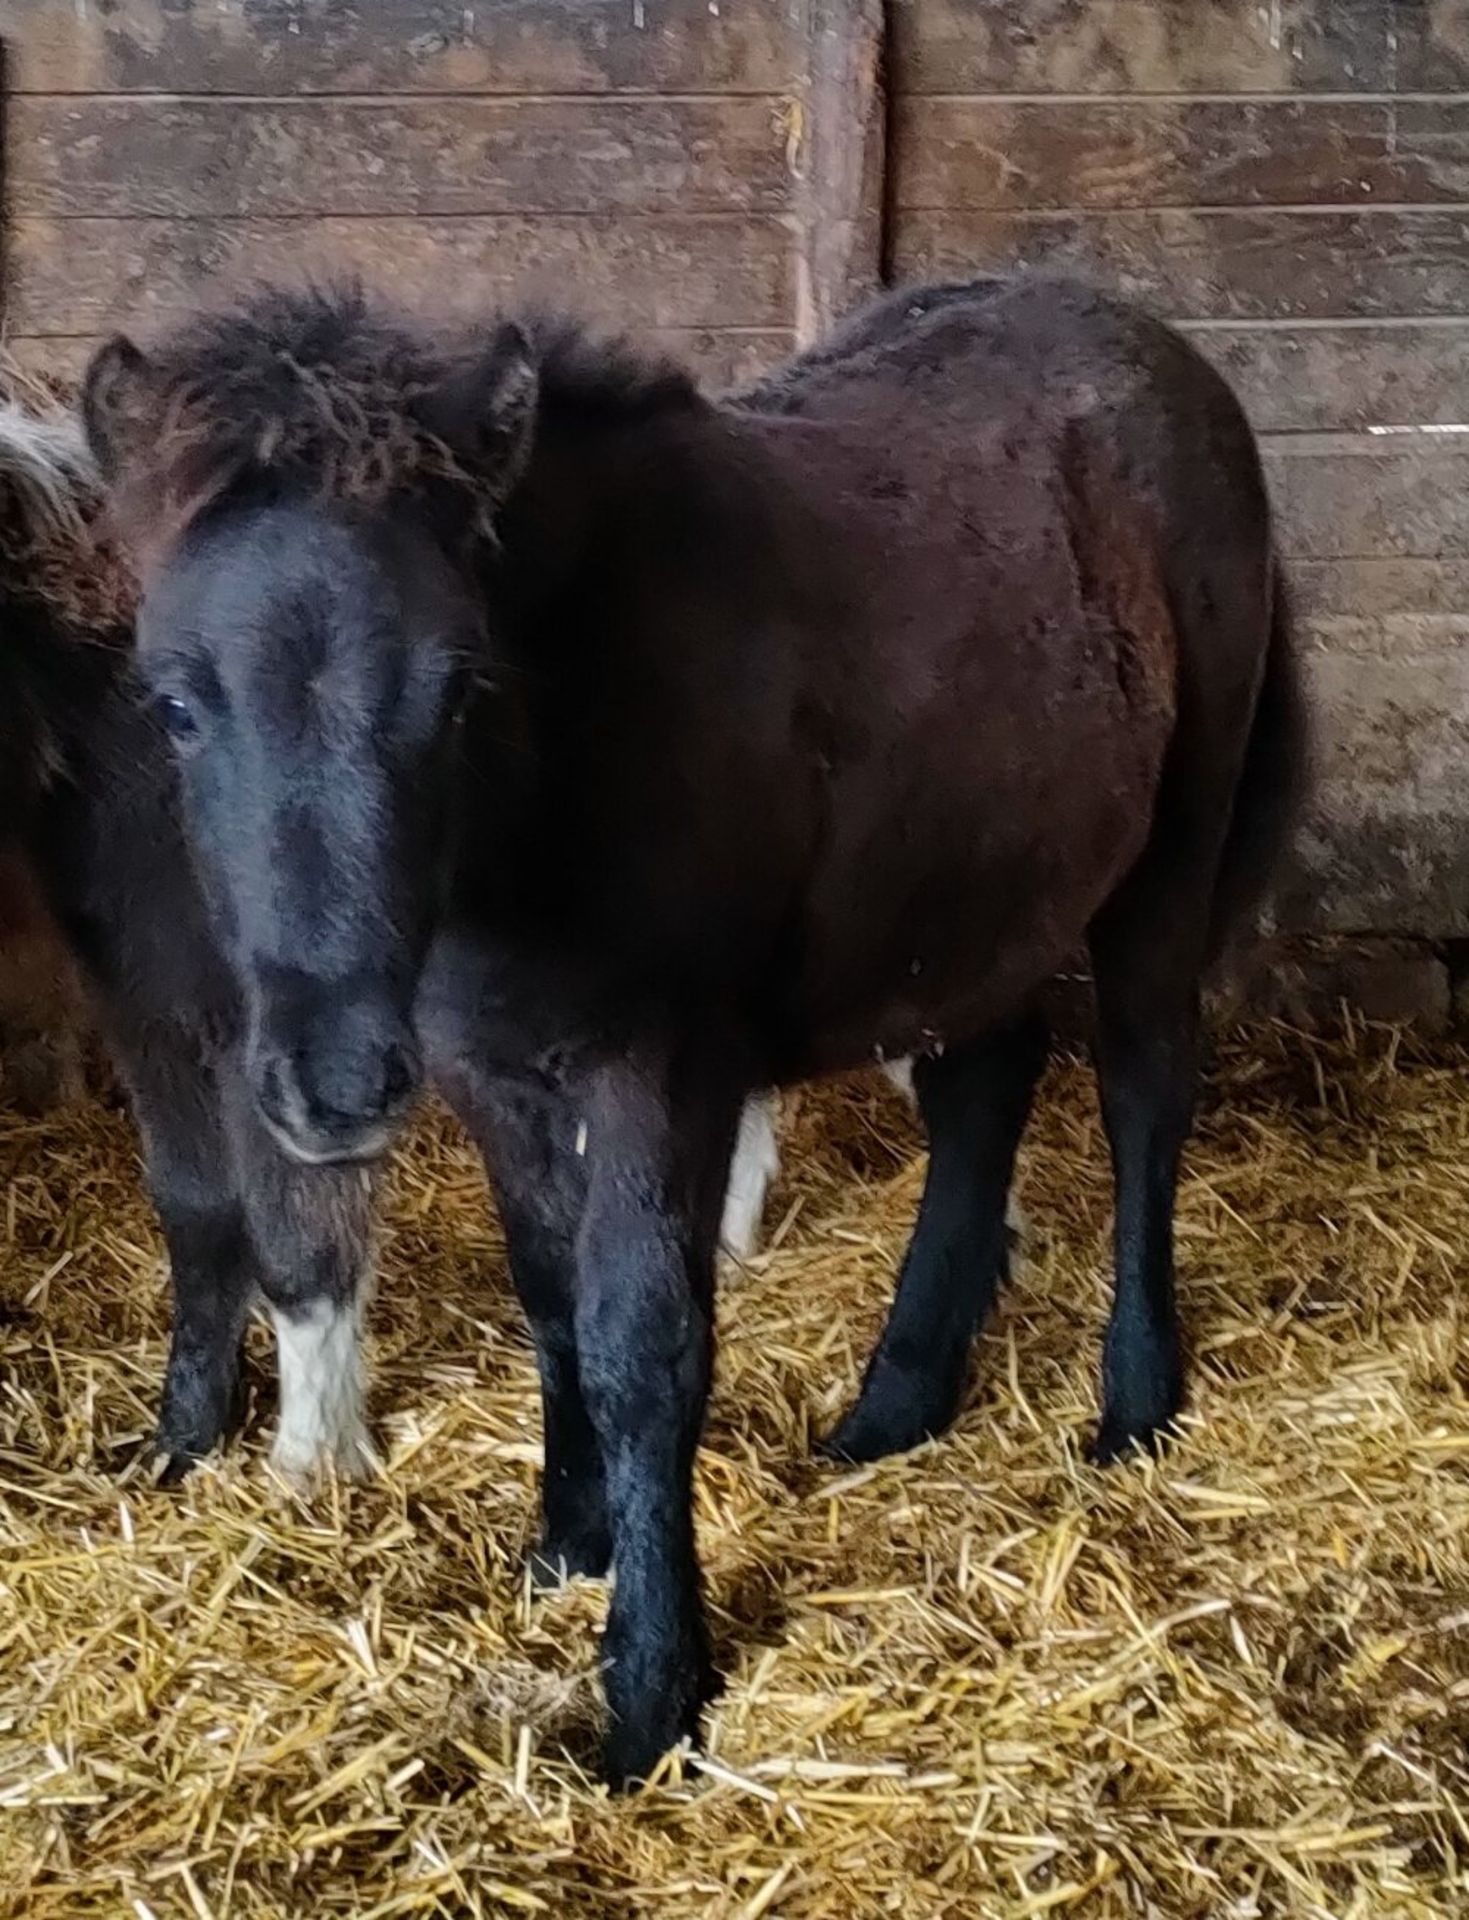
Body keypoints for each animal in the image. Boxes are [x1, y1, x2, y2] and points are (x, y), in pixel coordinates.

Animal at [83, 278, 1298, 1789]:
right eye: (176, 704)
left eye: (457, 687)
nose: (334, 1082)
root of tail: (1161, 347)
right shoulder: (494, 1077)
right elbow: (550, 1304)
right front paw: (566, 1544)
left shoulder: (664, 1070)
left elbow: (644, 1345)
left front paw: (652, 1689)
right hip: (980, 885)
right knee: (983, 1091)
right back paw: (897, 1402)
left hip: (1167, 852)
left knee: (1141, 1087)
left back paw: (1133, 1401)